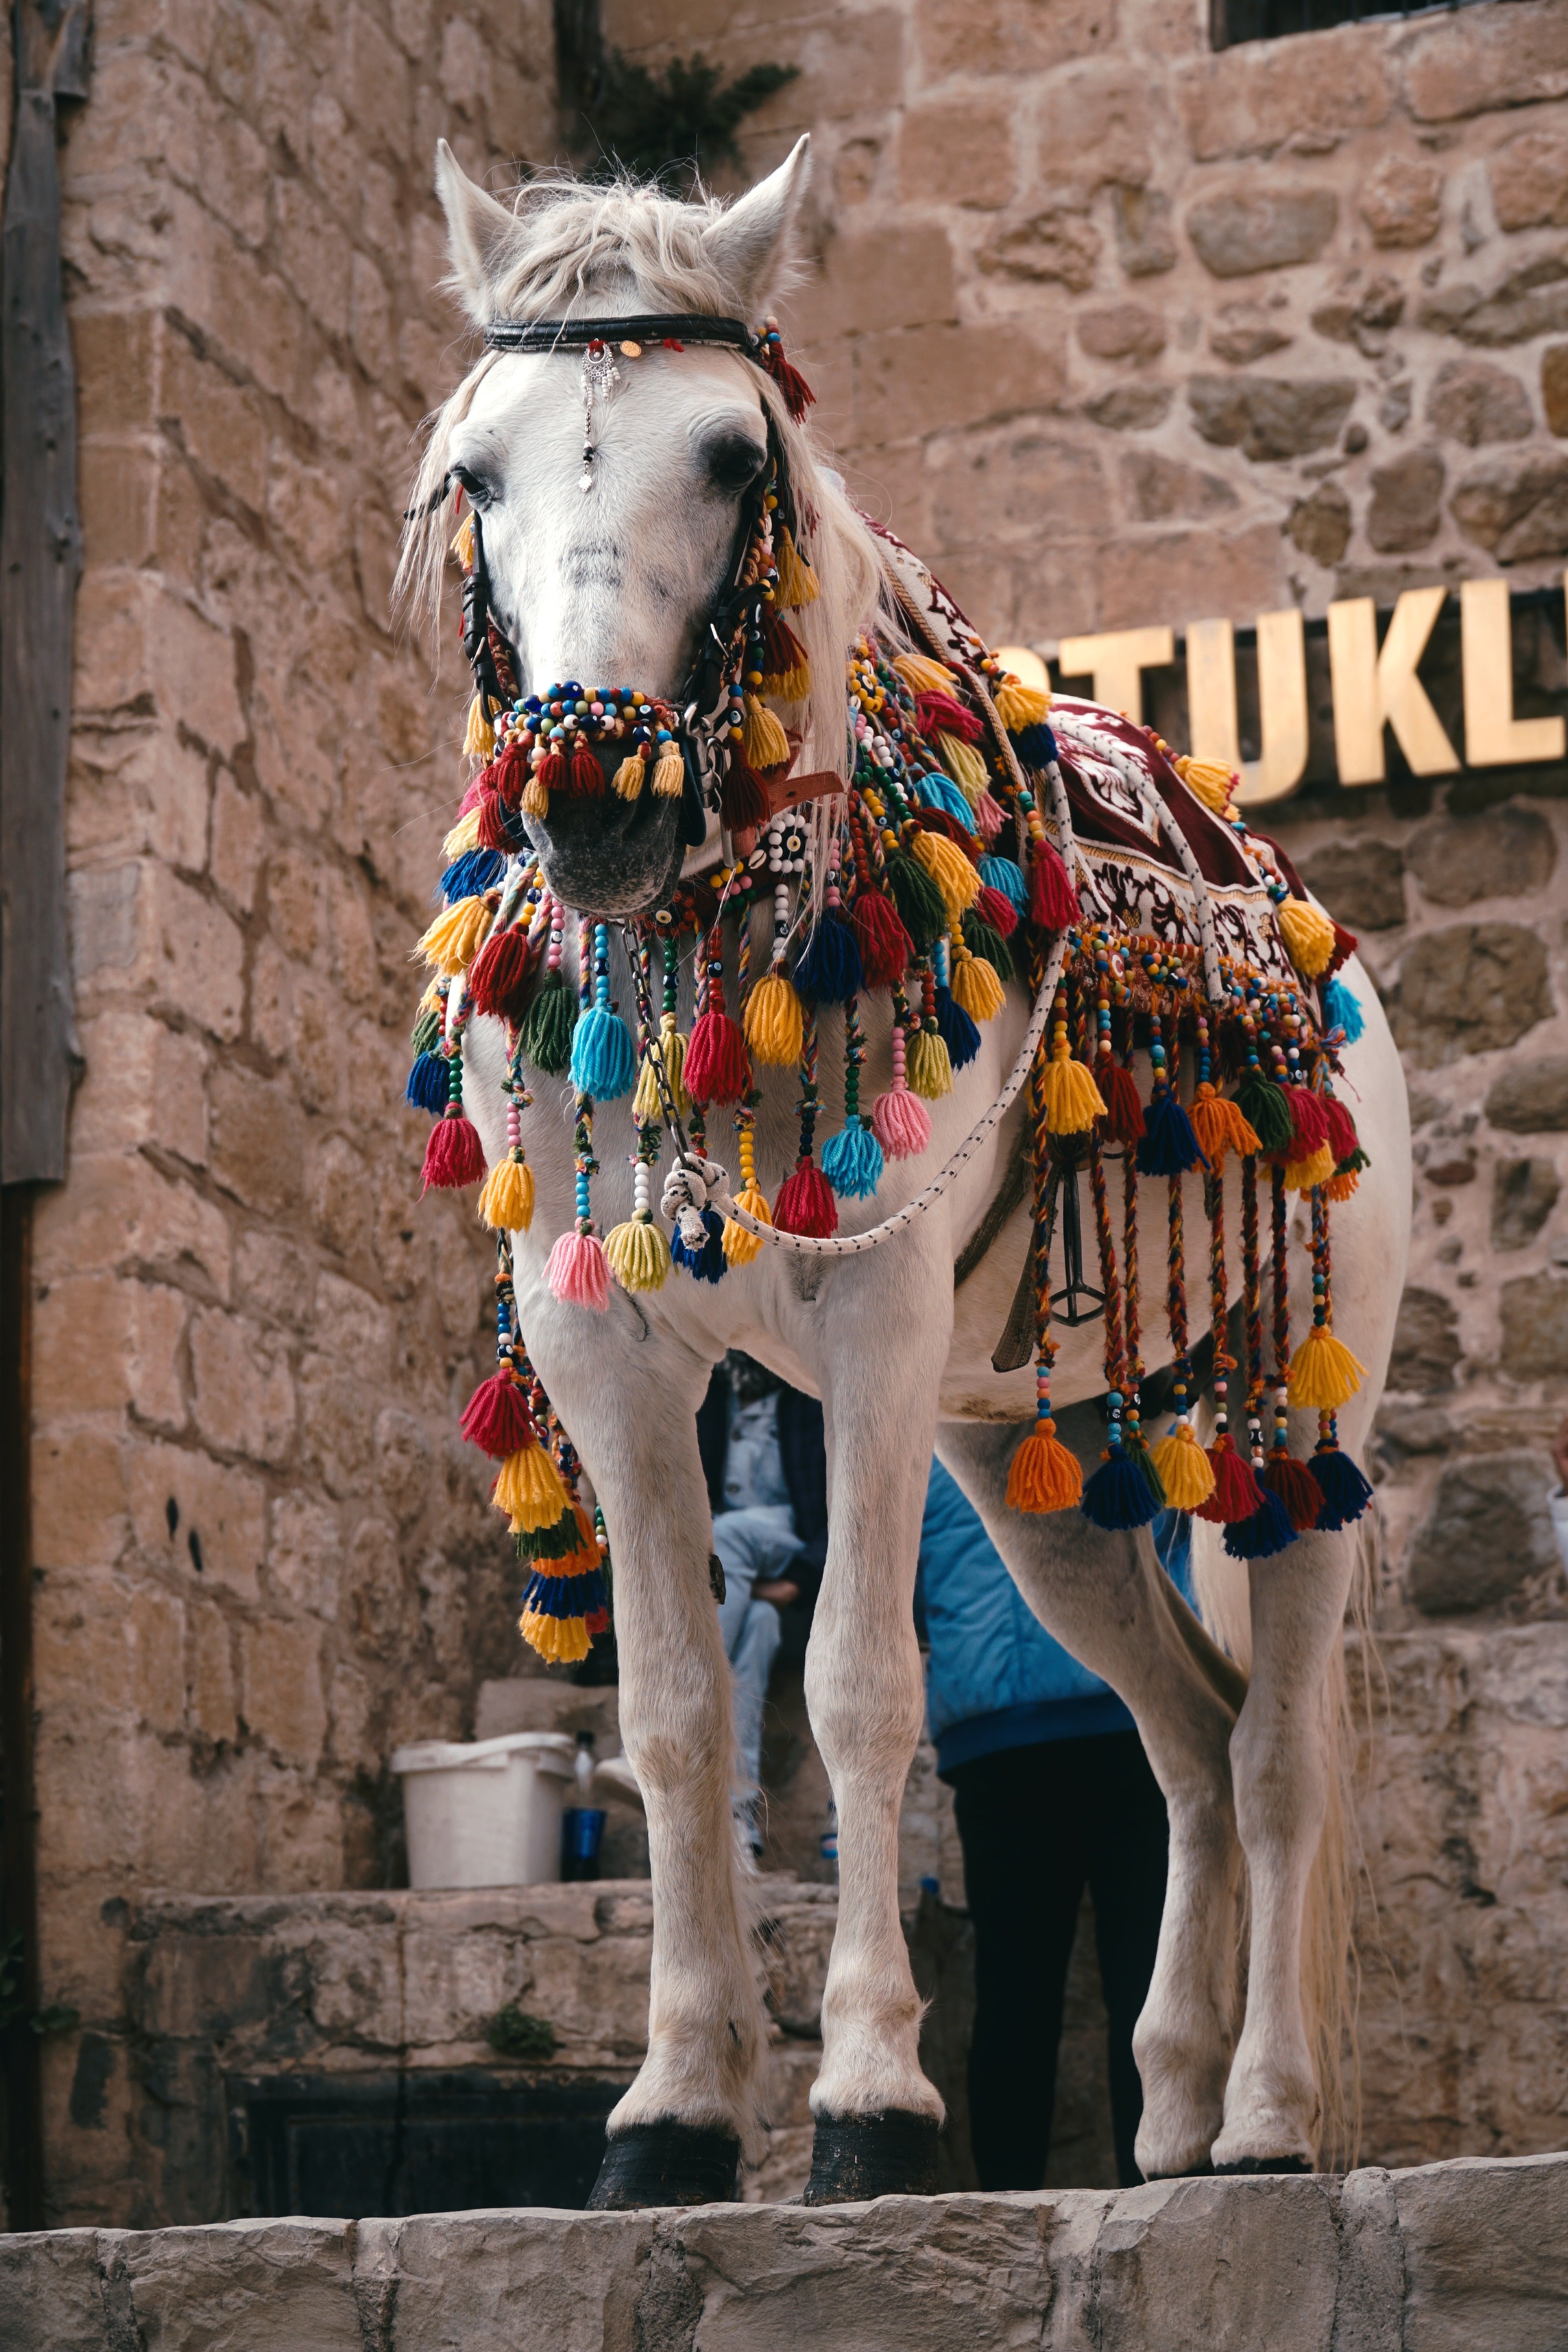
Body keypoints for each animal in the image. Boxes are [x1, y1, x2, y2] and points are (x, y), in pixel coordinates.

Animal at [398, 134, 1411, 2209]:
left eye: (730, 455)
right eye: (477, 473)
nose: (591, 795)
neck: (718, 945)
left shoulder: (864, 1321)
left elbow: (859, 1689)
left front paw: (870, 2097)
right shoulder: (604, 1338)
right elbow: (674, 1718)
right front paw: (670, 2114)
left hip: (1296, 1418)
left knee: (1273, 1762)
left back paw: (1263, 2123)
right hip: (1035, 1469)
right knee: (1183, 1748)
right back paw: (1165, 2117)